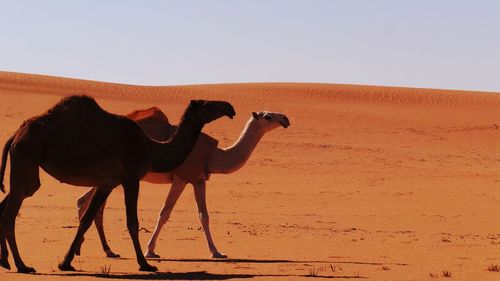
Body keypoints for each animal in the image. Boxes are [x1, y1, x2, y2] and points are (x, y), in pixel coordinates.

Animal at [0, 94, 236, 272]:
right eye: (207, 104)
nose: (230, 107)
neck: (152, 149)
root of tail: (15, 135)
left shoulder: (107, 183)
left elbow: (86, 219)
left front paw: (65, 262)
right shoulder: (131, 179)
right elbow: (132, 222)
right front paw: (145, 264)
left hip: (25, 165)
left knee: (9, 203)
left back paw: (6, 262)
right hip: (25, 157)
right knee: (11, 213)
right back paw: (22, 266)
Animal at [76, 109, 292, 258]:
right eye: (268, 116)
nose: (285, 119)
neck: (214, 155)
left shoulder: (199, 179)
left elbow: (204, 215)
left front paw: (217, 252)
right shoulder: (181, 177)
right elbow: (165, 213)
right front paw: (150, 250)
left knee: (87, 203)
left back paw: (104, 251)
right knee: (90, 203)